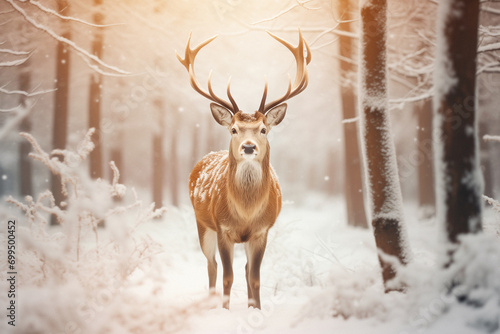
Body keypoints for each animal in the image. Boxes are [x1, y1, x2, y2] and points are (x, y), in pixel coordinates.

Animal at [175, 30, 308, 310]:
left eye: (263, 129)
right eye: (234, 129)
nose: (248, 147)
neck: (246, 214)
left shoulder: (262, 230)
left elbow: (254, 276)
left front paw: (255, 310)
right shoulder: (222, 227)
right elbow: (228, 275)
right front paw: (224, 310)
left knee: (245, 269)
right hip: (202, 223)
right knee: (211, 265)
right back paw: (210, 301)